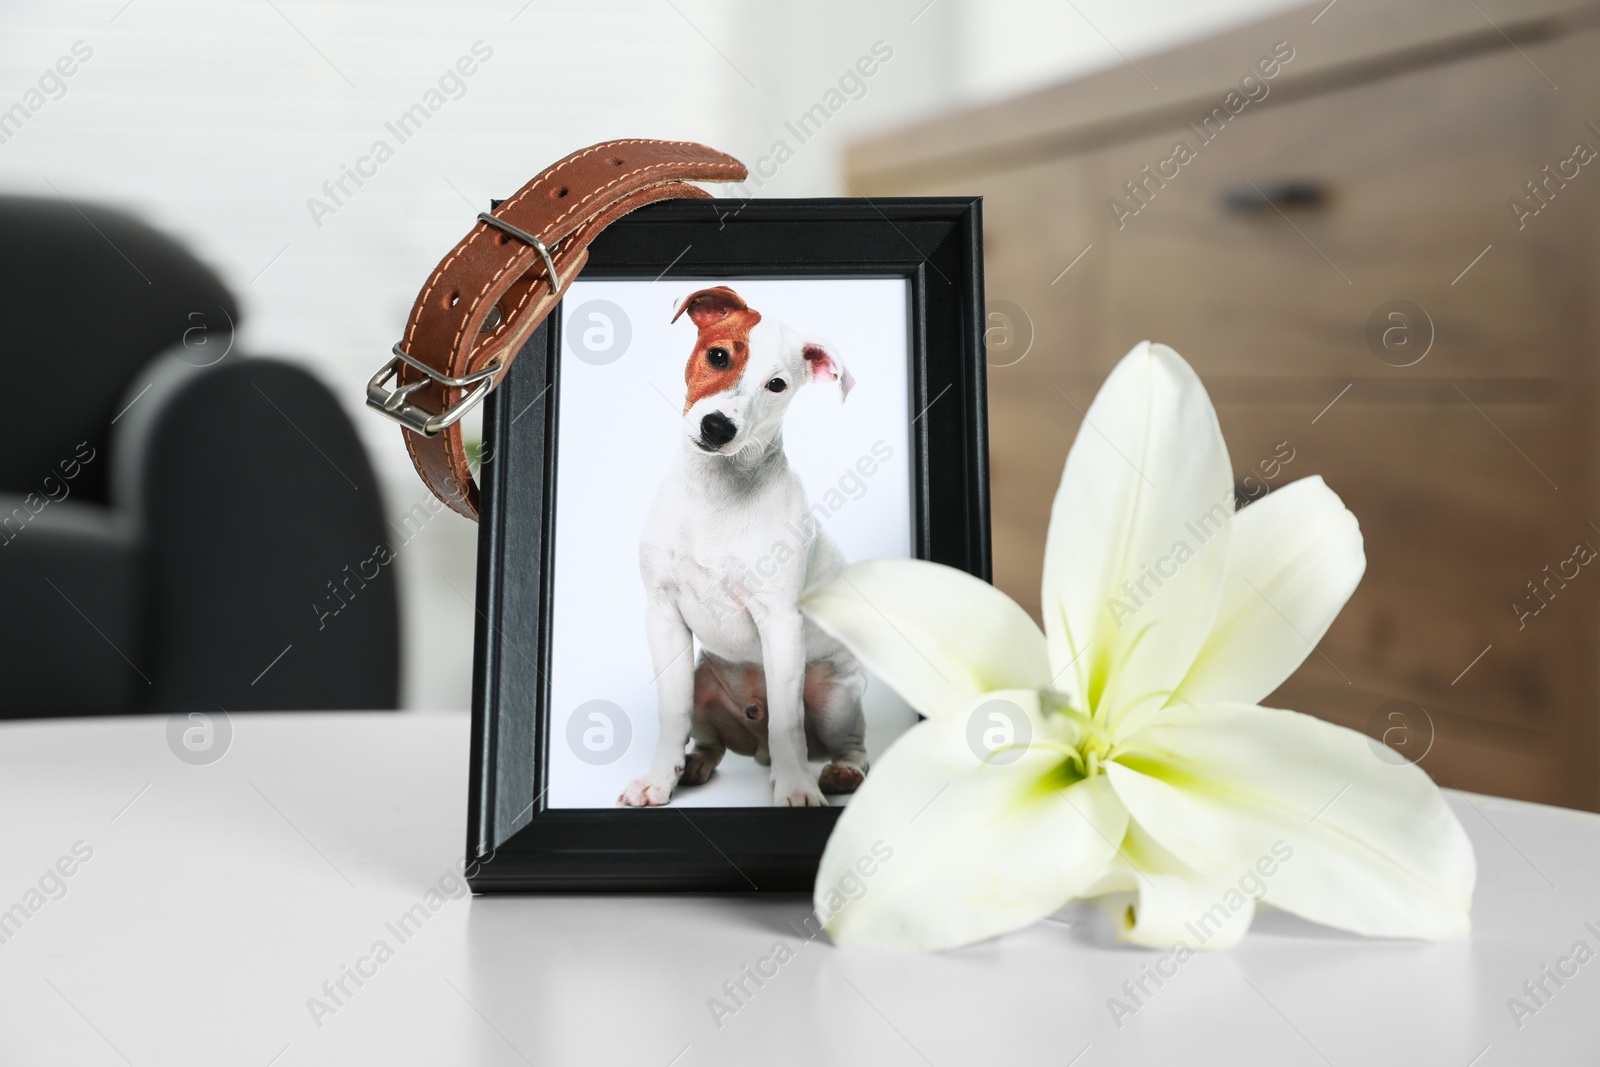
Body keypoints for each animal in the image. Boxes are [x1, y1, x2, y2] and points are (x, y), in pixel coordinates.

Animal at [624, 287, 876, 806]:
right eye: (719, 356)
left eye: (777, 385)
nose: (718, 427)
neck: (716, 495)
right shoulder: (663, 616)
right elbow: (671, 715)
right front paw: (658, 781)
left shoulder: (780, 622)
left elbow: (788, 722)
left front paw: (797, 788)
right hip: (704, 683)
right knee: (711, 741)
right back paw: (693, 765)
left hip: (835, 697)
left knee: (848, 742)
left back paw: (839, 772)